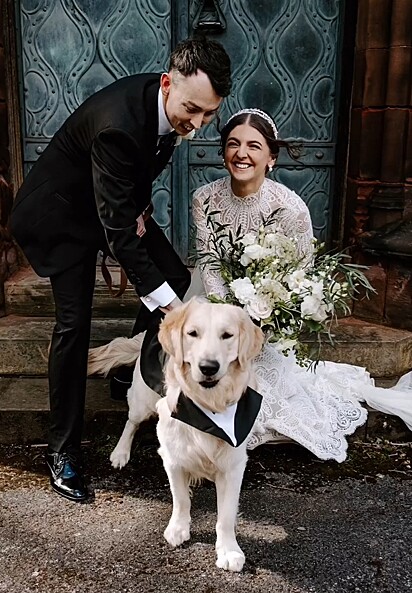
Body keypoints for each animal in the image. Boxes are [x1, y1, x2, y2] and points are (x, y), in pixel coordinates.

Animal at [91, 298, 262, 572]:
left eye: (227, 335)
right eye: (192, 333)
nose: (208, 367)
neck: (207, 407)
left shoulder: (233, 465)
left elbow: (225, 515)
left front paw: (229, 550)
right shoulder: (172, 457)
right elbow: (181, 498)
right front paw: (178, 529)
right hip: (141, 401)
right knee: (131, 422)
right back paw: (120, 453)